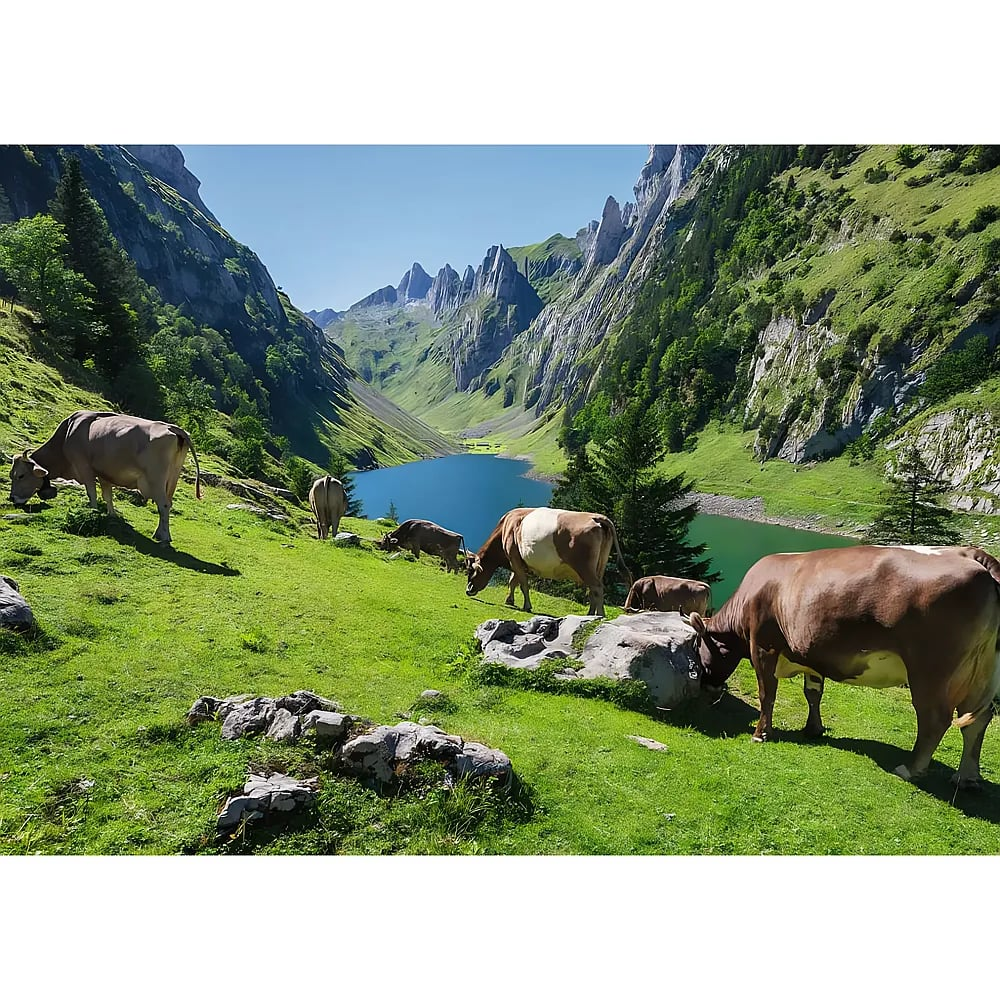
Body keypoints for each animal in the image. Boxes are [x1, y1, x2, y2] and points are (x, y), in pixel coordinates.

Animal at [7, 410, 201, 544]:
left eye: (20, 475)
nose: (12, 498)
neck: (67, 435)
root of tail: (171, 427)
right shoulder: (104, 474)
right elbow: (107, 495)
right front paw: (111, 515)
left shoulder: (84, 467)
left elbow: (91, 493)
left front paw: (92, 512)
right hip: (172, 478)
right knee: (168, 504)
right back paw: (159, 533)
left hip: (156, 479)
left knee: (163, 505)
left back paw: (164, 537)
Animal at [465, 507, 631, 617]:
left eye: (471, 571)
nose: (468, 590)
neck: (506, 527)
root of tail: (596, 517)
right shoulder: (517, 560)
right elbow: (513, 581)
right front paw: (509, 600)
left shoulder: (514, 557)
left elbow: (523, 584)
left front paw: (527, 606)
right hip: (599, 565)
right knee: (593, 589)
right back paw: (590, 615)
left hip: (584, 566)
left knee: (596, 587)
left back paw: (600, 616)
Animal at [686, 545, 1000, 788]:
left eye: (697, 646)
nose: (705, 684)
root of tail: (969, 553)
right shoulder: (811, 655)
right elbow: (813, 693)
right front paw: (813, 729)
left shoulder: (763, 647)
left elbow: (768, 694)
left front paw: (761, 734)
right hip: (983, 669)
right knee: (979, 718)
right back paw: (967, 777)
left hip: (931, 669)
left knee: (935, 718)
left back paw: (910, 769)